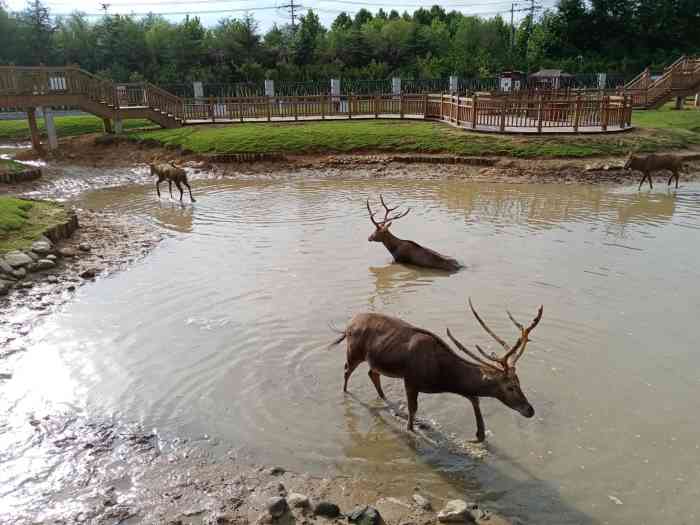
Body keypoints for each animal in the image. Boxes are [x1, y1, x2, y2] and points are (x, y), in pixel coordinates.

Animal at [330, 296, 544, 440]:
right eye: (510, 387)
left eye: (519, 382)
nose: (530, 410)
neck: (442, 377)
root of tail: (348, 325)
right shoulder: (410, 379)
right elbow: (413, 411)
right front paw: (411, 428)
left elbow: (474, 398)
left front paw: (479, 435)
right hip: (354, 351)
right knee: (347, 370)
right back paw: (345, 392)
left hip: (374, 359)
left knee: (371, 373)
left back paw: (384, 398)